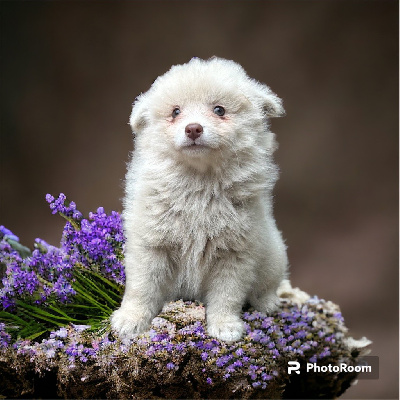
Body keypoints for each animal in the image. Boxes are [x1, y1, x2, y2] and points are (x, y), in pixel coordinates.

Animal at [111, 57, 290, 340]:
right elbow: (142, 286)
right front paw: (130, 319)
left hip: (274, 255)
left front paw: (225, 326)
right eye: (175, 112)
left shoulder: (236, 252)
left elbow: (227, 294)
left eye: (219, 110)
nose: (193, 128)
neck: (199, 183)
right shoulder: (151, 245)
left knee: (267, 285)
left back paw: (268, 303)